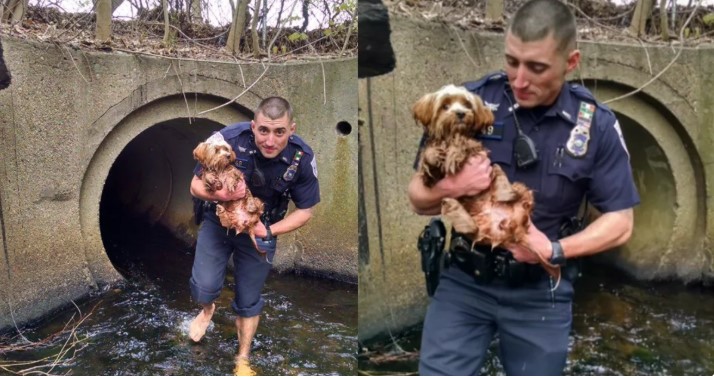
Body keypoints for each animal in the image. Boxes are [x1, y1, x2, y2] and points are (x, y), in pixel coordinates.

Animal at [412, 83, 556, 278]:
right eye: (445, 106)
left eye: (467, 104)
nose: (460, 113)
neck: (450, 134)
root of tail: (511, 228)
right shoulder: (432, 179)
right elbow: (428, 162)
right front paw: (433, 155)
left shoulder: (476, 149)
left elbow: (463, 142)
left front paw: (454, 153)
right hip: (476, 226)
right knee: (470, 227)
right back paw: (454, 207)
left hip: (518, 190)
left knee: (518, 191)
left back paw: (506, 193)